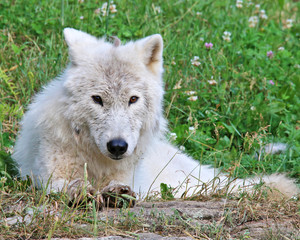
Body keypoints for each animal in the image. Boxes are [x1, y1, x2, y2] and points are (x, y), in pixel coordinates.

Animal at [12, 28, 298, 206]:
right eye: (97, 99)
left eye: (133, 99)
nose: (118, 146)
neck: (96, 160)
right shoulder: (46, 175)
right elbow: (66, 184)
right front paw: (83, 192)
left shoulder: (130, 178)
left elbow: (119, 186)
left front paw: (116, 194)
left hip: (188, 185)